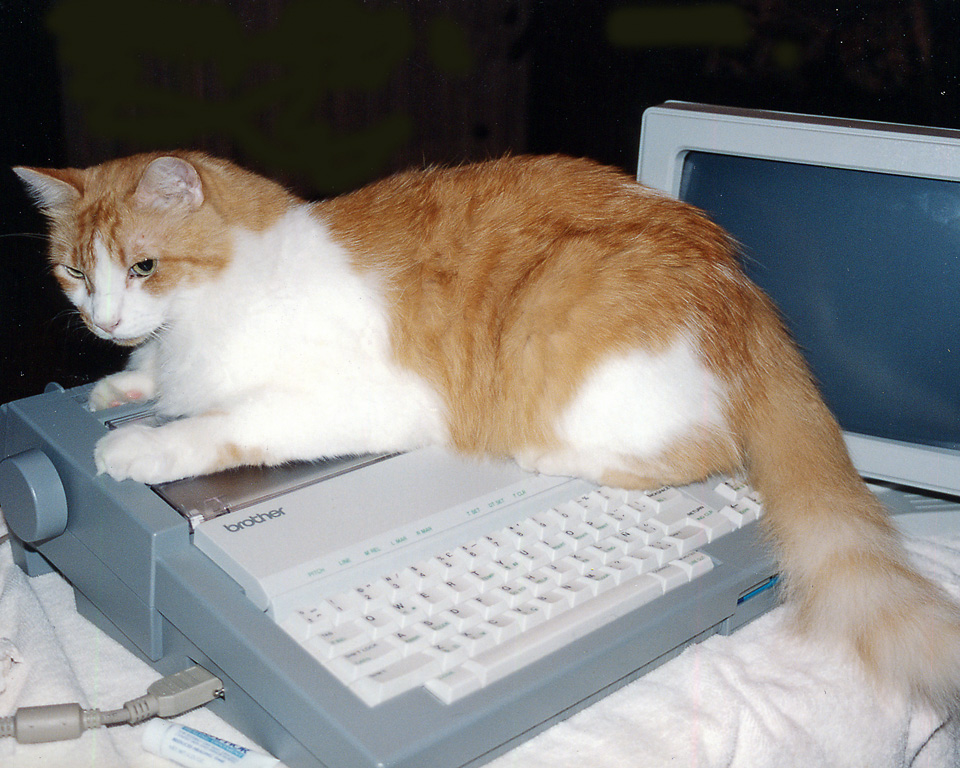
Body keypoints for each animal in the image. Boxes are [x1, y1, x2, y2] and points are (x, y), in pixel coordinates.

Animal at [13, 153, 960, 712]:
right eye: (74, 272)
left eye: (144, 266)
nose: (101, 320)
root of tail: (745, 292)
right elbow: (153, 379)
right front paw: (117, 386)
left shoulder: (352, 400)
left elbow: (224, 427)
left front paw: (138, 444)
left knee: (700, 451)